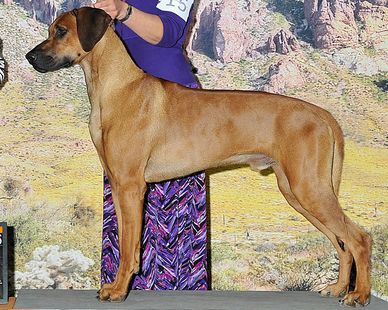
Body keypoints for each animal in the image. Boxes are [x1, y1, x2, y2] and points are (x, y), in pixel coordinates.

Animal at [25, 7, 372, 308]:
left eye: (61, 31)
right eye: (51, 29)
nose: (30, 57)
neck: (116, 87)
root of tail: (323, 114)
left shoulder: (130, 186)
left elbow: (128, 248)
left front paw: (120, 289)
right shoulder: (119, 184)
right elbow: (125, 242)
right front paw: (115, 286)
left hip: (309, 188)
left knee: (358, 238)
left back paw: (359, 294)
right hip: (297, 191)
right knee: (341, 242)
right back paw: (338, 288)